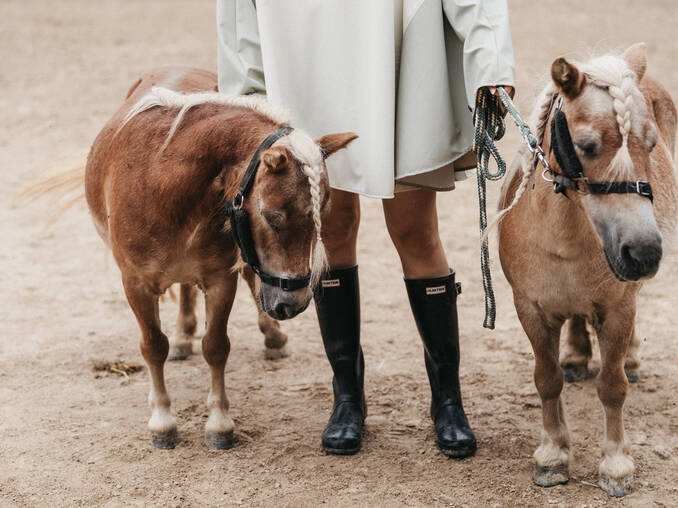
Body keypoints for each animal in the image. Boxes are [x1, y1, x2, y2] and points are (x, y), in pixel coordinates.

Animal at [84, 66, 357, 449]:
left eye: (325, 211)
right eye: (272, 216)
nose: (296, 302)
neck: (163, 183)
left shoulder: (219, 278)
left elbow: (216, 346)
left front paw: (219, 424)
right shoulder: (135, 283)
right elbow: (153, 346)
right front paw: (163, 422)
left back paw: (271, 338)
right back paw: (183, 339)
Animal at [497, 43, 677, 497]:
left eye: (651, 143)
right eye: (586, 144)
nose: (644, 251)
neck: (565, 239)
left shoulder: (618, 308)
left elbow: (612, 387)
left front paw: (616, 464)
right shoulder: (530, 309)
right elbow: (546, 380)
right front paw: (553, 456)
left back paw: (630, 358)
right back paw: (577, 355)